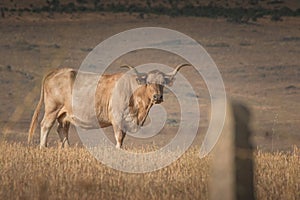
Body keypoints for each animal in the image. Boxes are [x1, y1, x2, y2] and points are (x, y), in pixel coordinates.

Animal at [27, 64, 188, 148]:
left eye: (163, 83)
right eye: (148, 82)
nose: (157, 97)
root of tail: (56, 71)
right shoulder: (117, 119)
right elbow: (119, 137)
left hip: (64, 114)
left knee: (62, 130)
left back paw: (67, 148)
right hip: (52, 109)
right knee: (45, 125)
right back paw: (43, 147)